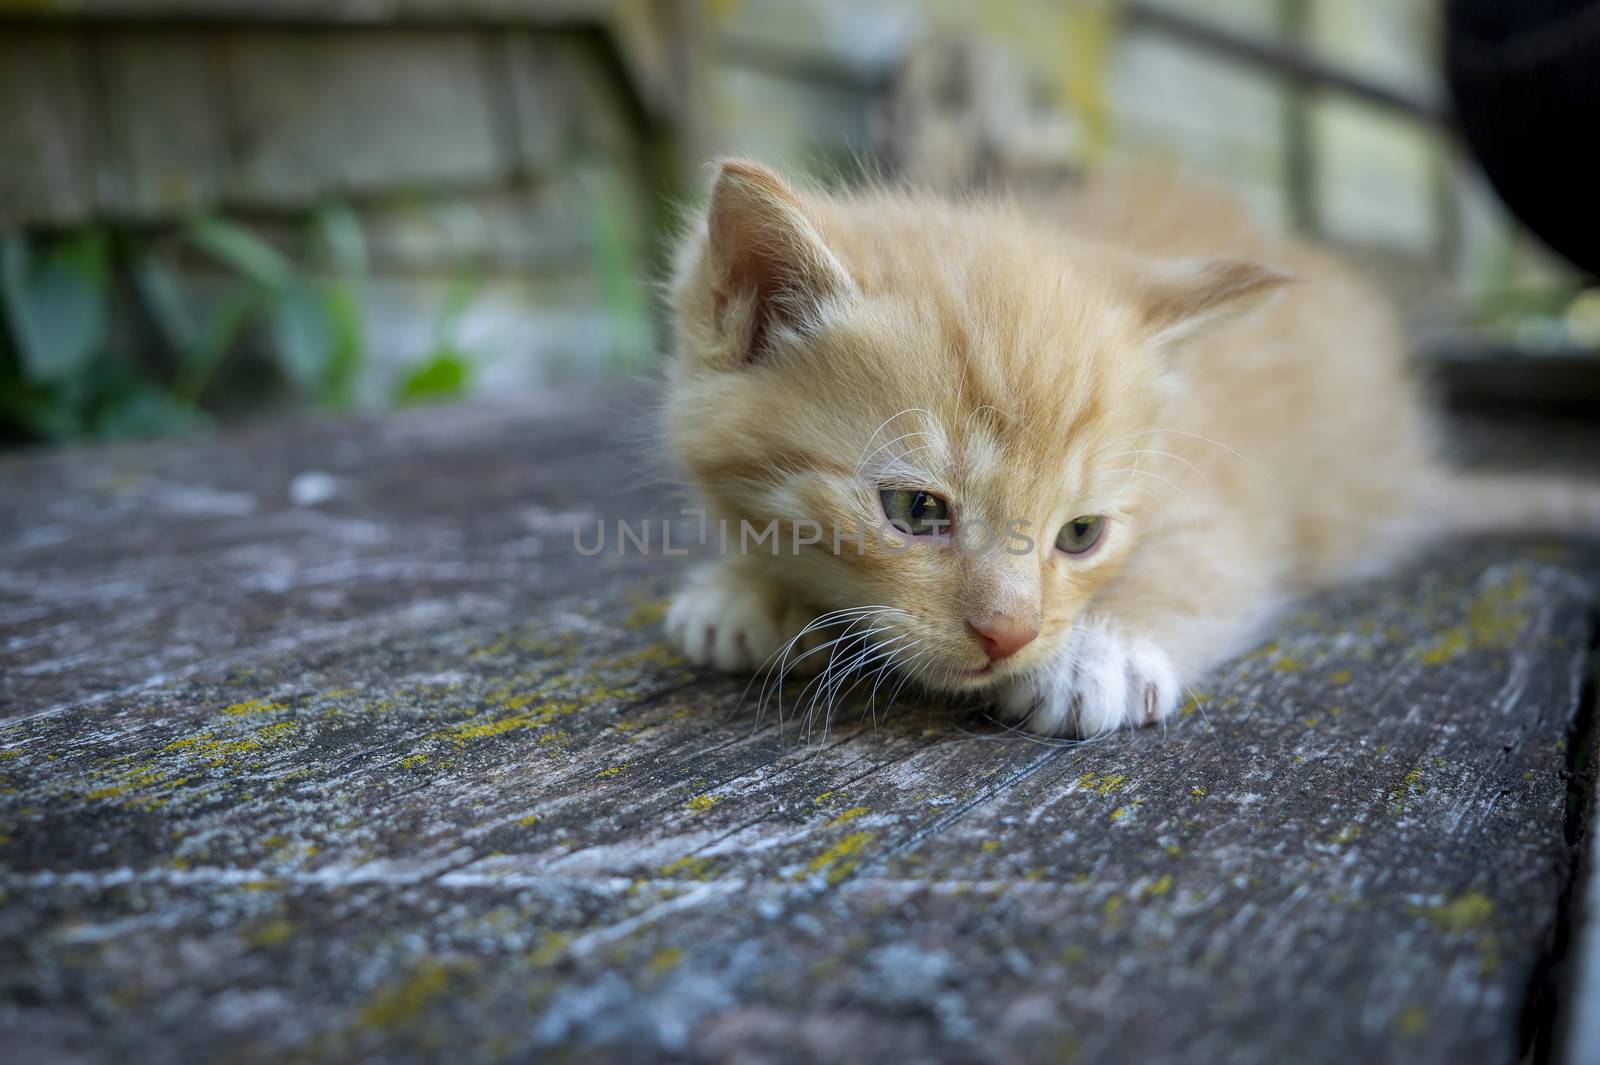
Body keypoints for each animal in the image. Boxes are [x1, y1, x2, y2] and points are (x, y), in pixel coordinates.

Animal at [656, 157, 1593, 735]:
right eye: (916, 510)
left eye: (1081, 534)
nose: (1009, 635)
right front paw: (750, 587)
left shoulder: (1229, 507)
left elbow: (1196, 568)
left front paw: (1098, 652)